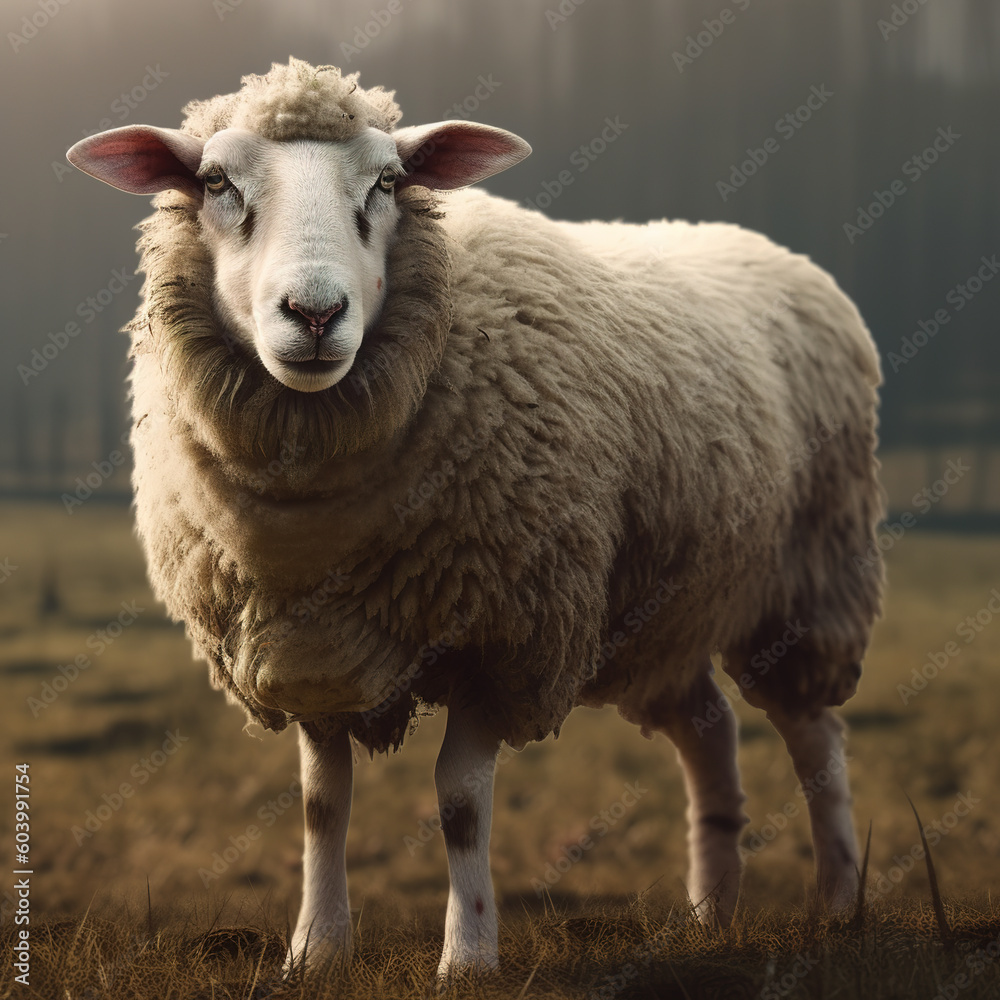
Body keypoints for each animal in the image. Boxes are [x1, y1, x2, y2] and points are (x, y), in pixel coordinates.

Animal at [66, 58, 884, 980]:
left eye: (388, 182)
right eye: (215, 183)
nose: (314, 315)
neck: (314, 526)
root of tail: (772, 247)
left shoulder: (505, 633)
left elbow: (459, 803)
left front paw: (468, 957)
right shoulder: (309, 645)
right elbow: (320, 804)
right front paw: (317, 950)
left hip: (809, 582)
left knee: (816, 742)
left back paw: (838, 903)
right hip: (660, 614)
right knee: (708, 731)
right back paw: (711, 914)